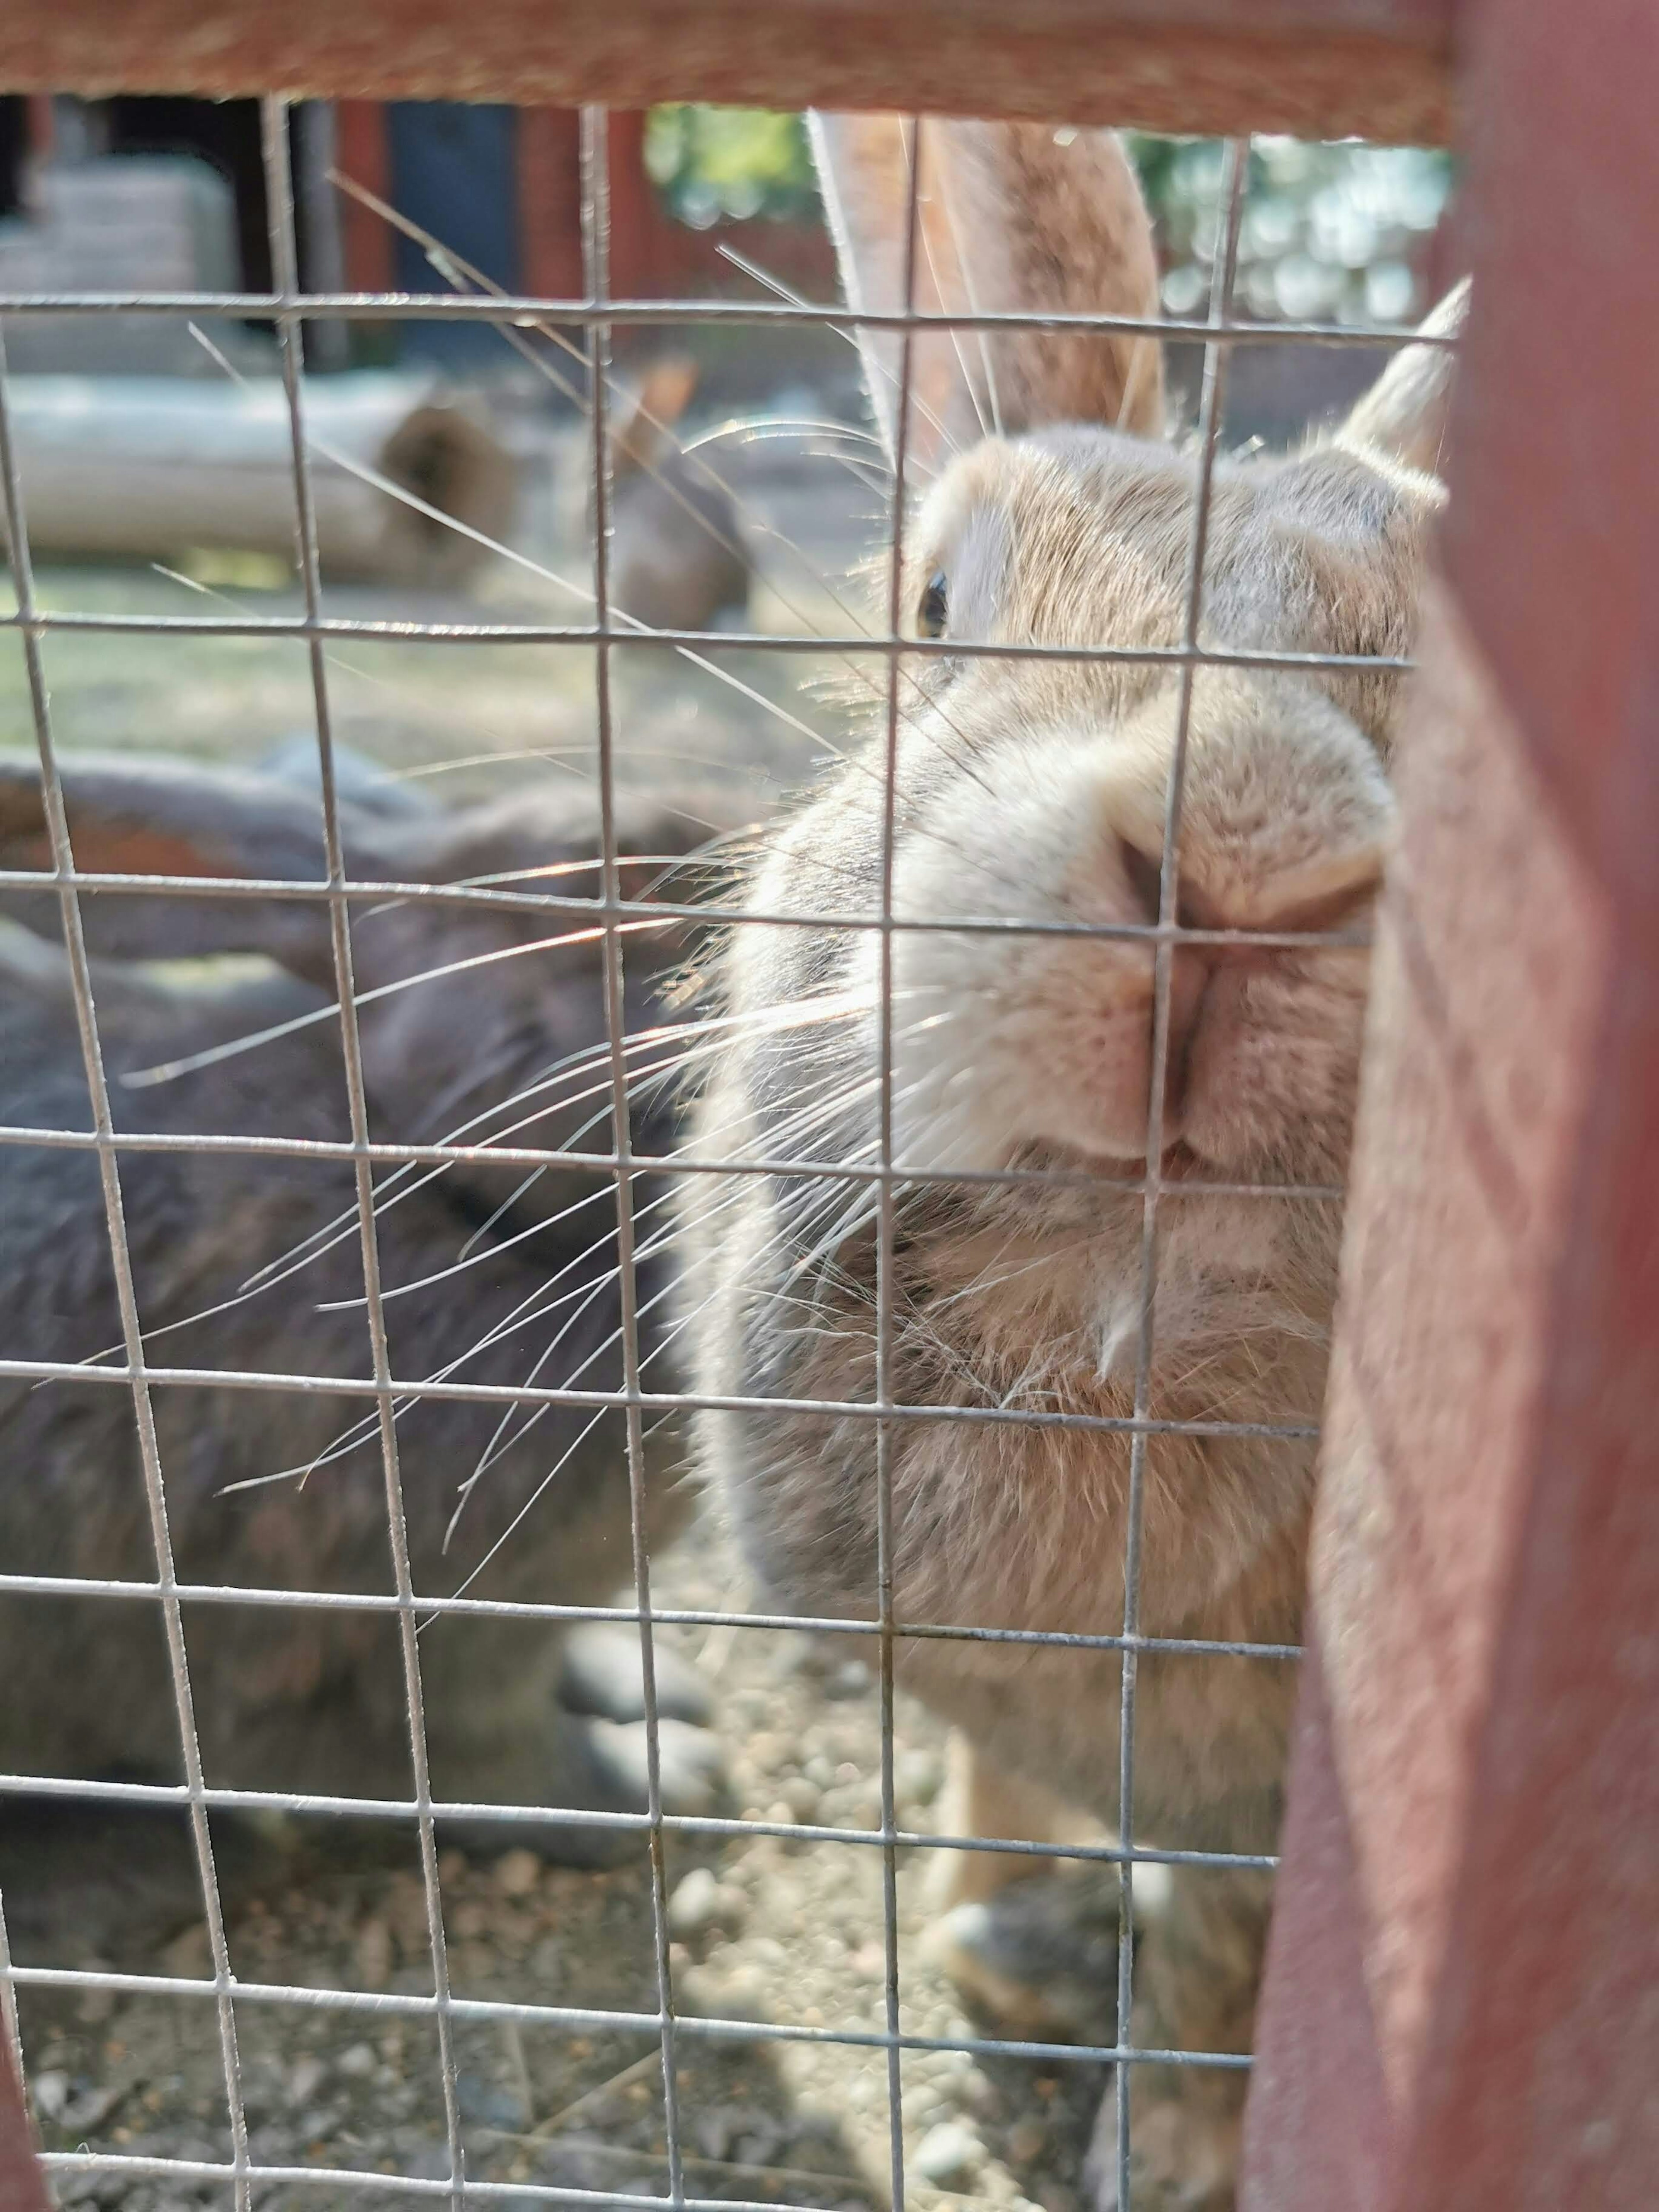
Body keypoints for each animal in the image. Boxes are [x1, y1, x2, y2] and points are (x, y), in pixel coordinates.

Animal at [681, 117, 1460, 2212]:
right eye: (935, 602)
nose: (1247, 854)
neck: (1113, 1343)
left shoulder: (1266, 1810)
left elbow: (1212, 1947)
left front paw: (1174, 2146)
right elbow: (991, 1773)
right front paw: (983, 1929)